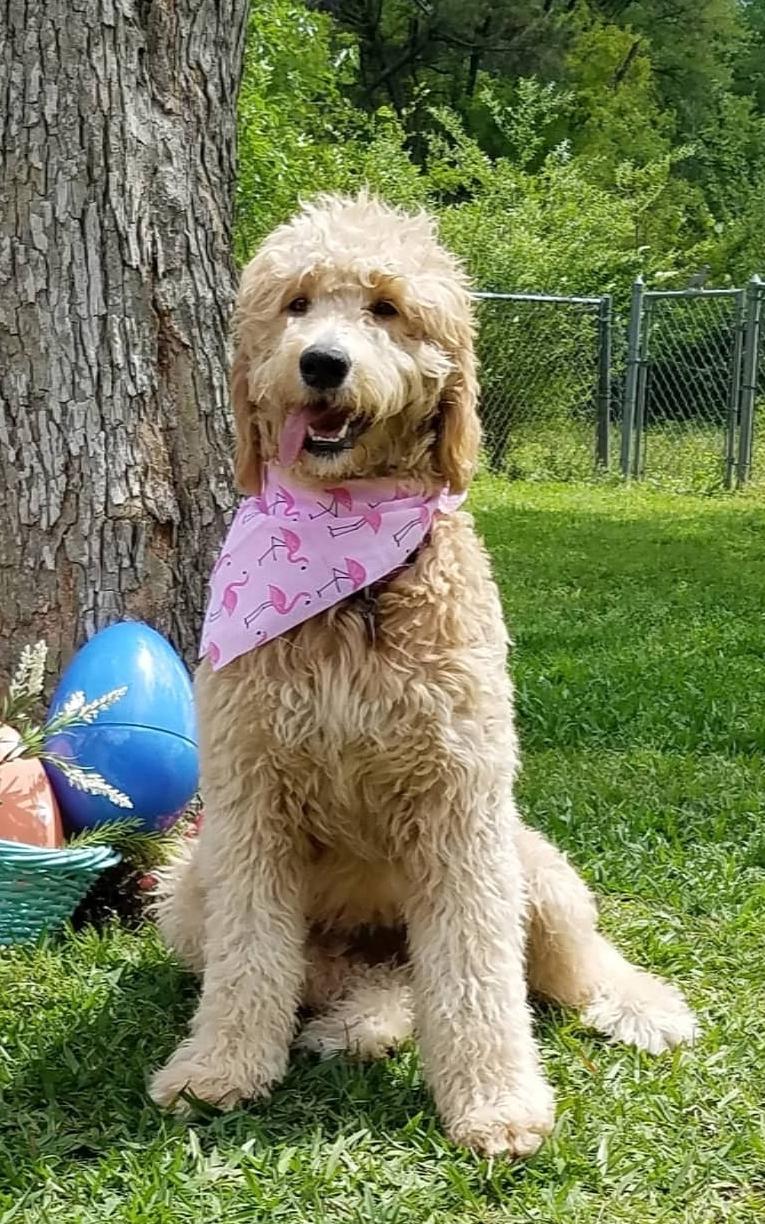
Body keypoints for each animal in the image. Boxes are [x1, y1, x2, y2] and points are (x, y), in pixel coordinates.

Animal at [150, 194, 697, 1157]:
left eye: (386, 307)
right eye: (295, 303)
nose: (321, 363)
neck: (350, 583)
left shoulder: (459, 801)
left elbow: (480, 972)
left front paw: (497, 1104)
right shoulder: (250, 803)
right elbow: (250, 958)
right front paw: (217, 1070)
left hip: (532, 863)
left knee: (564, 965)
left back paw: (638, 1005)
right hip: (191, 886)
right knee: (349, 978)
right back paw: (359, 1021)